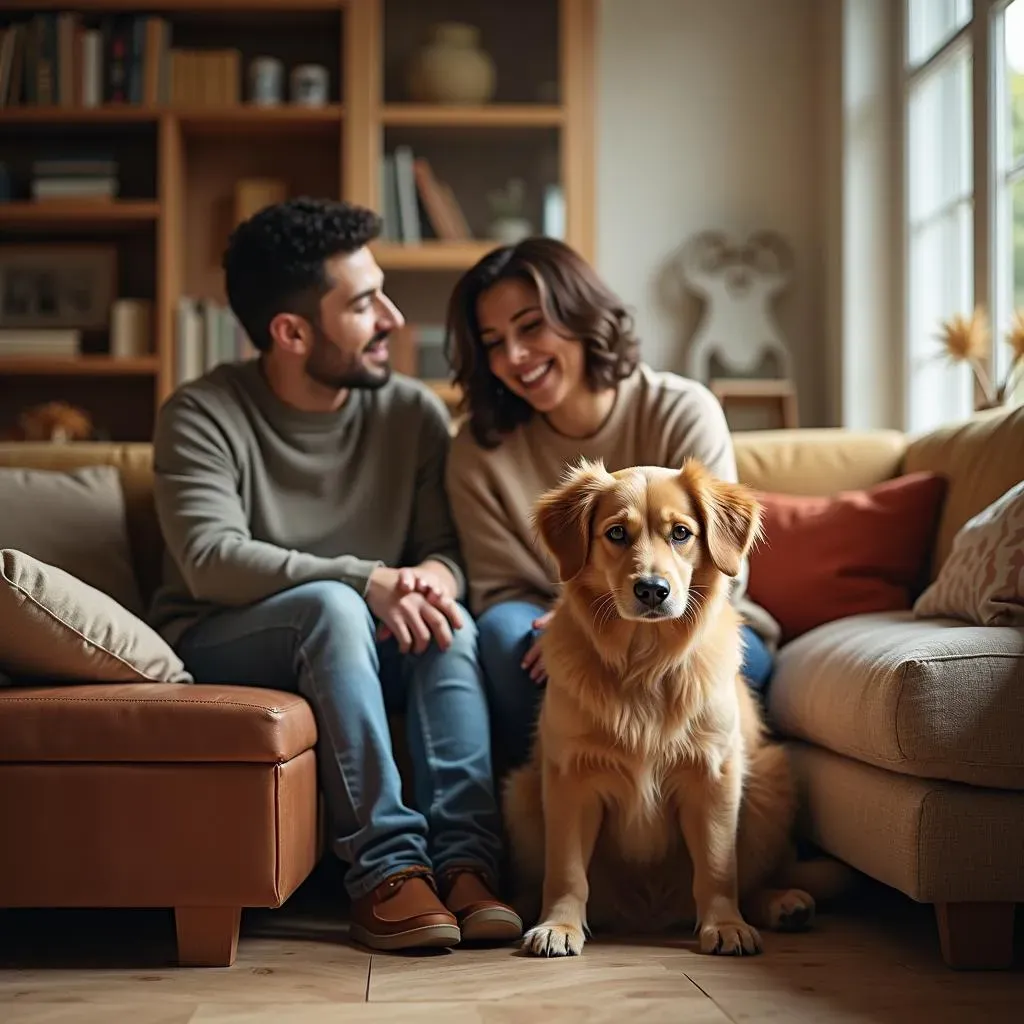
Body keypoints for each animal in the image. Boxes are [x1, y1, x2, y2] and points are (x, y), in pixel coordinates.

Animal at [503, 460, 815, 954]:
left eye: (681, 533)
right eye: (615, 533)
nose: (653, 589)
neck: (645, 664)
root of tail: (649, 914)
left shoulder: (713, 774)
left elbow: (718, 866)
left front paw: (725, 925)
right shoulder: (571, 777)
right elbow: (566, 870)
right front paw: (560, 926)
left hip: (771, 781)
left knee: (749, 877)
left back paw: (781, 903)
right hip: (522, 793)